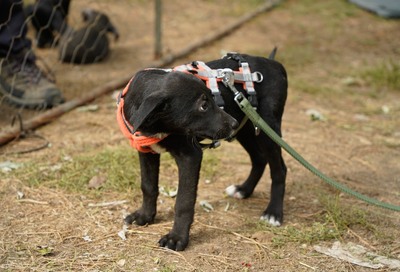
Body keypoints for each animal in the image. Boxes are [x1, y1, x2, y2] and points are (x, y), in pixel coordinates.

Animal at [121, 53, 288, 251]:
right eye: (203, 106)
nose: (232, 123)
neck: (157, 128)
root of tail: (275, 63)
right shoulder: (146, 152)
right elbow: (148, 186)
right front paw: (144, 216)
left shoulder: (190, 156)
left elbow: (184, 201)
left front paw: (177, 237)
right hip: (246, 129)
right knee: (259, 159)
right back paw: (244, 189)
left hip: (267, 128)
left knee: (279, 169)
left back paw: (273, 213)